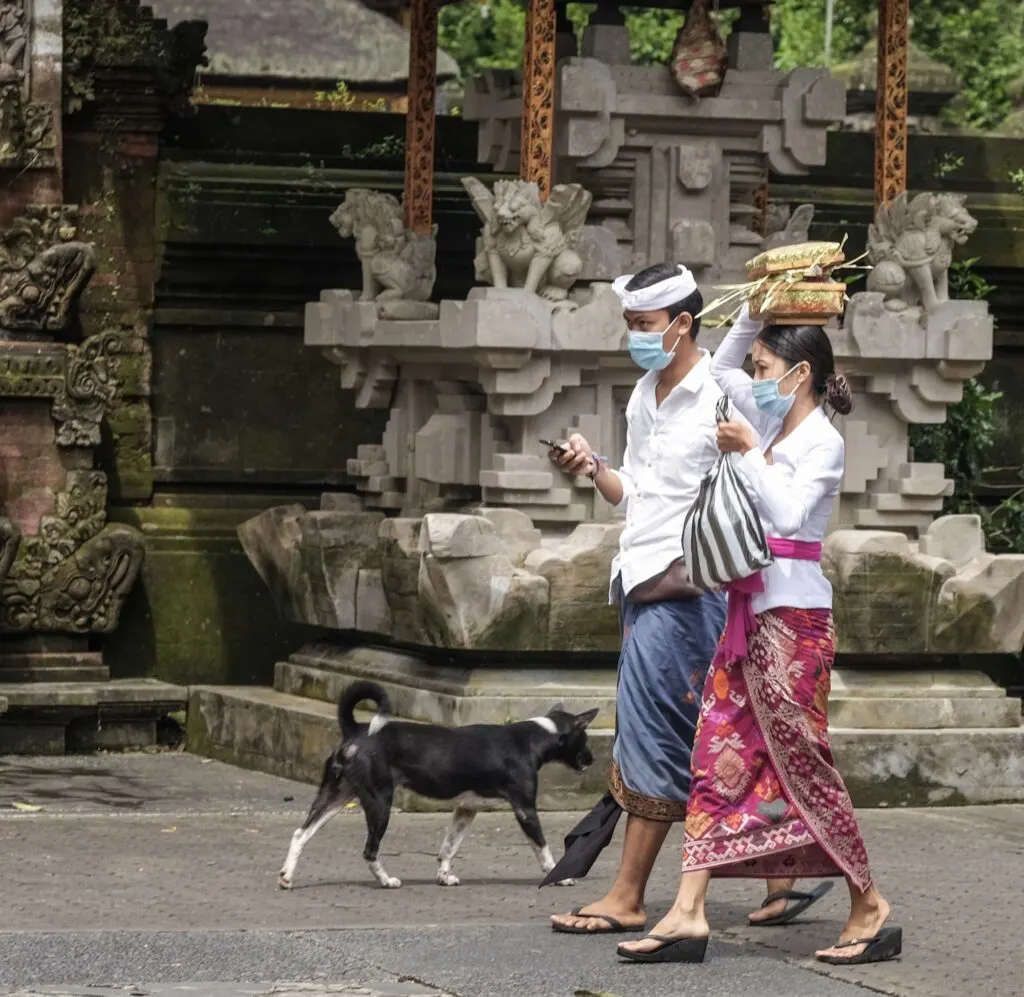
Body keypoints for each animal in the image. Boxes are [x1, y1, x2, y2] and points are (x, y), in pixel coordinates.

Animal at [280, 683, 598, 892]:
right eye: (585, 738)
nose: (593, 759)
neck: (533, 738)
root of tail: (356, 731)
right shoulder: (525, 809)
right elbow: (543, 849)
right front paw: (560, 876)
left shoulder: (466, 809)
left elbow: (449, 848)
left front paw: (444, 877)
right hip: (379, 802)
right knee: (369, 851)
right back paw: (386, 881)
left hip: (335, 795)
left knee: (300, 834)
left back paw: (287, 877)